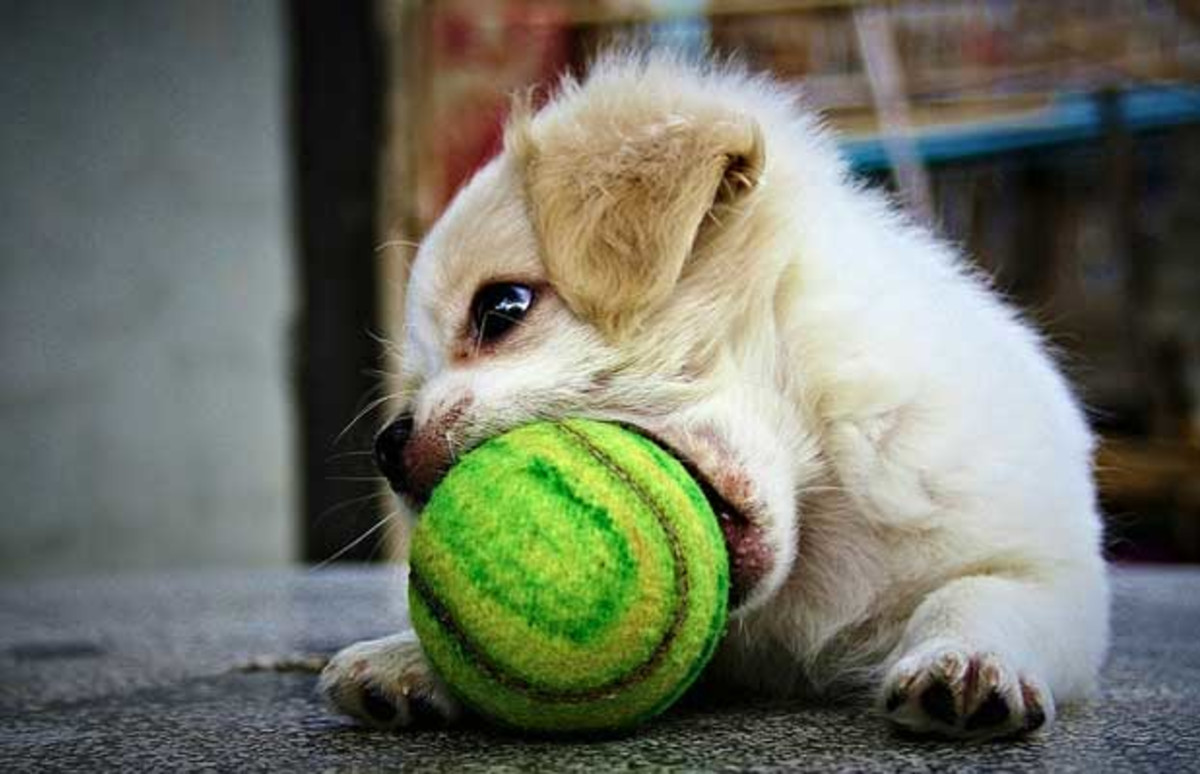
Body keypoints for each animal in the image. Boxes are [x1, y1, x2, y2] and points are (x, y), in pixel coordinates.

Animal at [316, 51, 1104, 739]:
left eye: (502, 308)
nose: (387, 447)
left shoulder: (1051, 574)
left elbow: (974, 594)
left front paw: (965, 662)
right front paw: (411, 656)